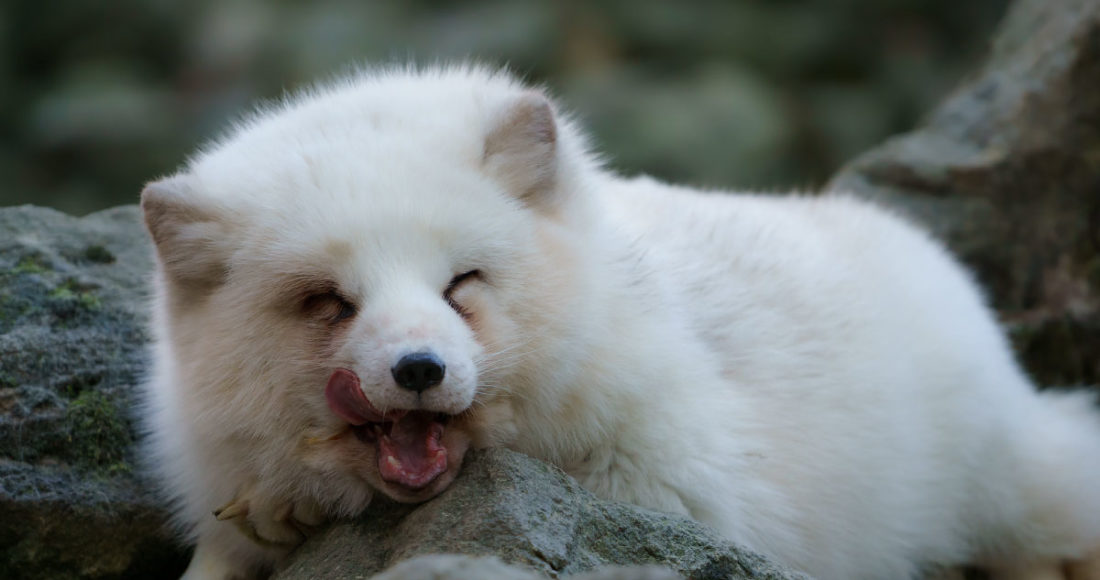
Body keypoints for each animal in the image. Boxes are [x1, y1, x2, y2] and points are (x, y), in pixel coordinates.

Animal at [139, 65, 1100, 580]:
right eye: (328, 302)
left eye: (461, 282)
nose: (418, 369)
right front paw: (278, 509)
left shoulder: (691, 499)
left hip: (1006, 479)